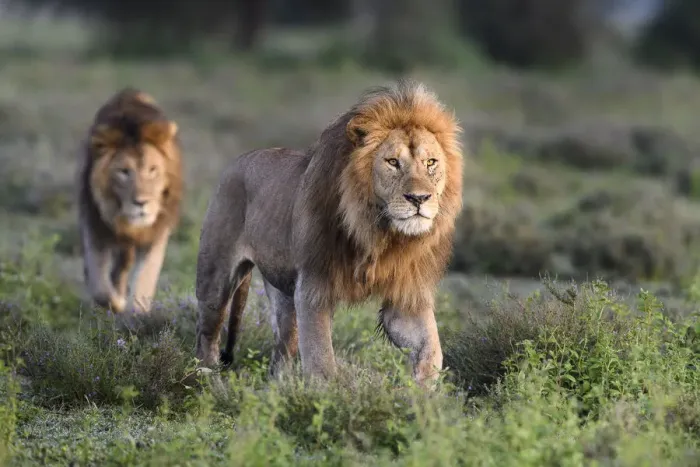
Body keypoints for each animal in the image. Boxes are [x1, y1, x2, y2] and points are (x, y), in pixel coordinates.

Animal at [78, 87, 183, 314]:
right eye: (124, 172)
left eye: (152, 170)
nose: (141, 203)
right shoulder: (95, 226)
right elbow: (99, 285)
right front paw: (116, 303)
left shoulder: (156, 233)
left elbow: (145, 278)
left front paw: (137, 313)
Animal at [195, 80, 463, 385]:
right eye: (393, 162)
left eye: (431, 163)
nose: (419, 198)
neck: (379, 234)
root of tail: (238, 159)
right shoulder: (315, 286)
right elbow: (321, 359)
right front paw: (329, 395)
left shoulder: (406, 293)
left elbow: (431, 349)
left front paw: (422, 392)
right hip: (215, 276)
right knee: (207, 335)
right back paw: (207, 380)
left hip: (284, 293)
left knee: (282, 351)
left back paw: (278, 389)